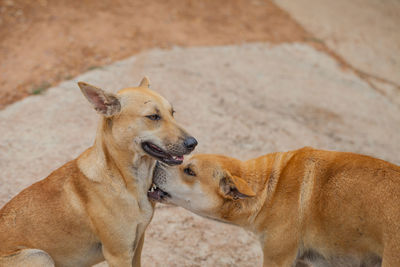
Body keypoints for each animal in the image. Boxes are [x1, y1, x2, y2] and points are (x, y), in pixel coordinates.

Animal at [0, 77, 197, 266]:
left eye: (172, 113)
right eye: (153, 116)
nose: (193, 143)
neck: (124, 180)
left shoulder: (137, 245)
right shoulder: (118, 255)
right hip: (40, 256)